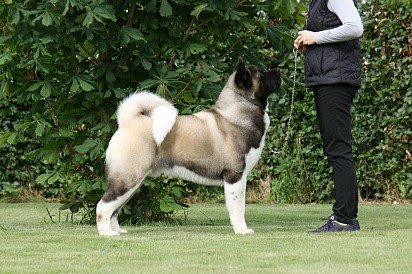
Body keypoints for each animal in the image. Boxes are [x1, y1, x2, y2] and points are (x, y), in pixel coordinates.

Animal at [97, 57, 284, 235]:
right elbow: (238, 209)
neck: (237, 111)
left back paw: (116, 230)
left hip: (132, 183)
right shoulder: (235, 176)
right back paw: (107, 233)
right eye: (261, 74)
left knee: (114, 209)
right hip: (127, 178)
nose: (278, 69)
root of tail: (128, 122)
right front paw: (242, 230)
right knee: (103, 206)